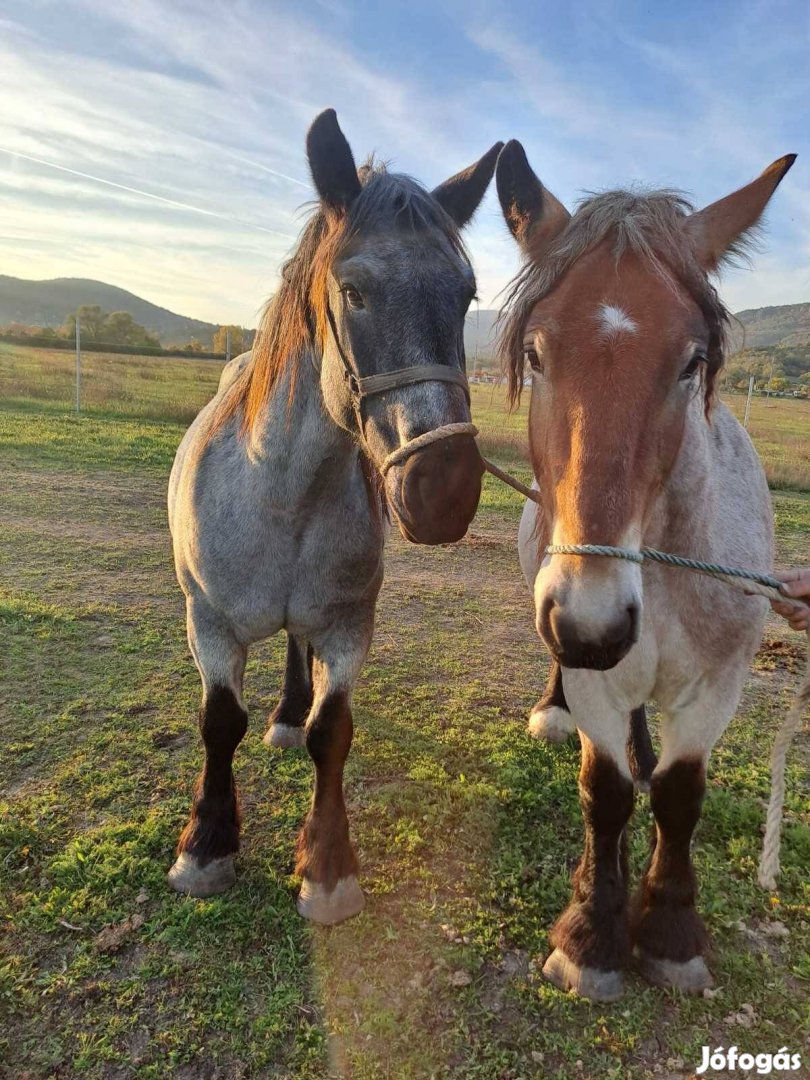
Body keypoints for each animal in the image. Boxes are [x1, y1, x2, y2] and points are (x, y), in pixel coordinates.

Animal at [168, 107, 501, 920]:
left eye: (467, 295)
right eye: (353, 291)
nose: (444, 487)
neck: (282, 493)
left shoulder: (351, 625)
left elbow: (332, 731)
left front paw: (326, 864)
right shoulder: (209, 625)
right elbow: (218, 723)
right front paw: (207, 845)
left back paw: (288, 714)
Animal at [498, 145, 794, 1002]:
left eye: (693, 361)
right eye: (536, 353)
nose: (592, 624)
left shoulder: (719, 686)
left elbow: (678, 794)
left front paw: (668, 931)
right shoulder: (591, 668)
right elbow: (605, 795)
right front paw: (594, 935)